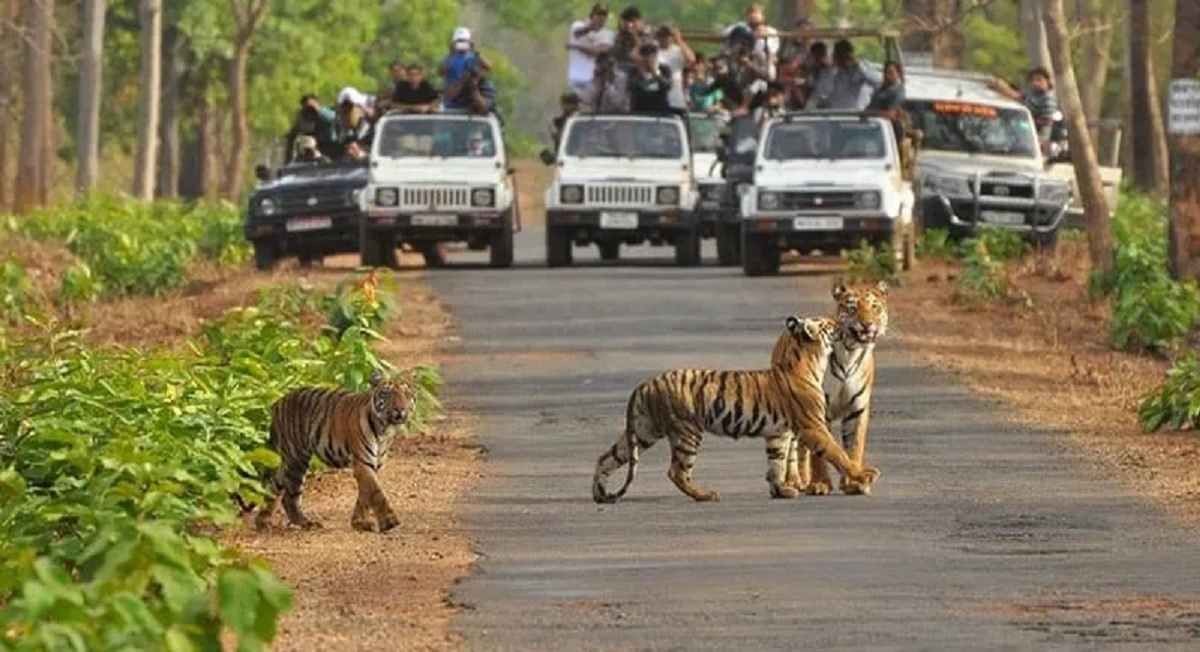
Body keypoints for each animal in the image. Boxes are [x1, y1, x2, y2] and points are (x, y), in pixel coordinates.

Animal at [238, 369, 417, 533]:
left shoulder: (374, 464)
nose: (400, 409)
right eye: (387, 393)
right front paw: (389, 521)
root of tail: (277, 403)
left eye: (407, 394)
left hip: (287, 460)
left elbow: (364, 495)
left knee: (274, 486)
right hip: (297, 458)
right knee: (289, 496)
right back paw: (306, 523)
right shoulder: (362, 462)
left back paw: (263, 523)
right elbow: (376, 492)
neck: (384, 429)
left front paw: (360, 523)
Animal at [592, 314, 883, 501]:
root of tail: (645, 384)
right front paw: (864, 474)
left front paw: (781, 491)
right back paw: (705, 495)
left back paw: (599, 494)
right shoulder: (813, 427)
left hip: (644, 430)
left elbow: (776, 463)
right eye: (828, 324)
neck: (809, 361)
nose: (841, 323)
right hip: (687, 431)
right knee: (677, 471)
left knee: (606, 457)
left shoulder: (778, 433)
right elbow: (838, 453)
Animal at [777, 278, 892, 497]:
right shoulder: (817, 410)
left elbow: (854, 447)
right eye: (852, 308)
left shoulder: (857, 409)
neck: (850, 352)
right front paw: (820, 484)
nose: (867, 323)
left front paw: (854, 483)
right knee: (793, 447)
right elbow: (820, 453)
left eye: (874, 307)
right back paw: (794, 481)